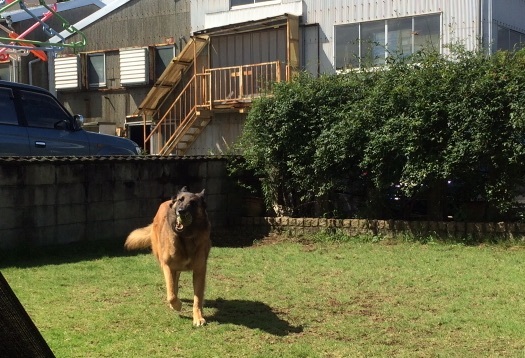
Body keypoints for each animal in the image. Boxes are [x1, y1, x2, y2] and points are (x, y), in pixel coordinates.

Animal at [125, 187, 211, 328]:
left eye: (193, 203)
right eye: (181, 200)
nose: (181, 211)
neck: (186, 238)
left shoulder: (200, 270)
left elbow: (197, 298)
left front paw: (198, 317)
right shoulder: (167, 265)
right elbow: (170, 294)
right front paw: (177, 305)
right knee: (172, 284)